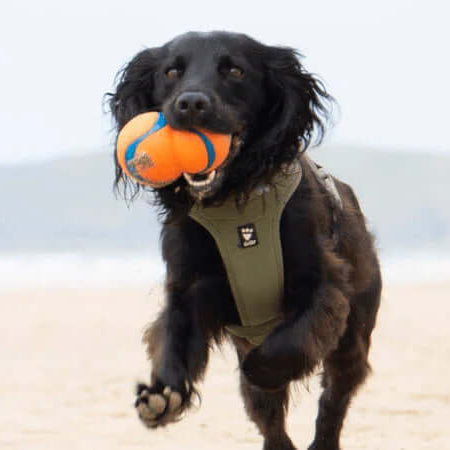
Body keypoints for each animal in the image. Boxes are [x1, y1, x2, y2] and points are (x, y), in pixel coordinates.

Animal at [108, 31, 380, 450]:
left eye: (234, 70)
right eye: (171, 71)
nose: (190, 103)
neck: (235, 202)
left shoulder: (324, 284)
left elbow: (283, 351)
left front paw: (260, 369)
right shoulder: (189, 283)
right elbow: (174, 334)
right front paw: (162, 397)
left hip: (355, 335)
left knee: (334, 397)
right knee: (272, 423)